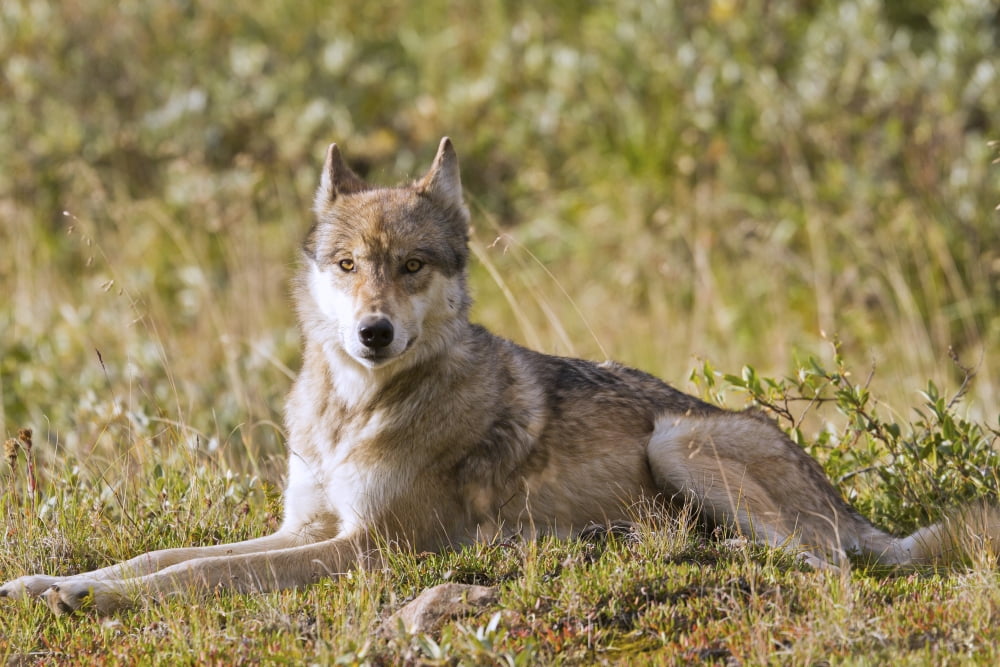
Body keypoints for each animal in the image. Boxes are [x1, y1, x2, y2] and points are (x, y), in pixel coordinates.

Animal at [2, 137, 995, 614]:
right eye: (349, 265)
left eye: (411, 267)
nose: (372, 332)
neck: (355, 411)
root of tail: (853, 506)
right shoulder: (307, 523)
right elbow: (167, 557)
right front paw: (55, 584)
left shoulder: (367, 549)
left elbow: (197, 577)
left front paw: (95, 599)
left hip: (680, 440)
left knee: (819, 560)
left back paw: (669, 547)